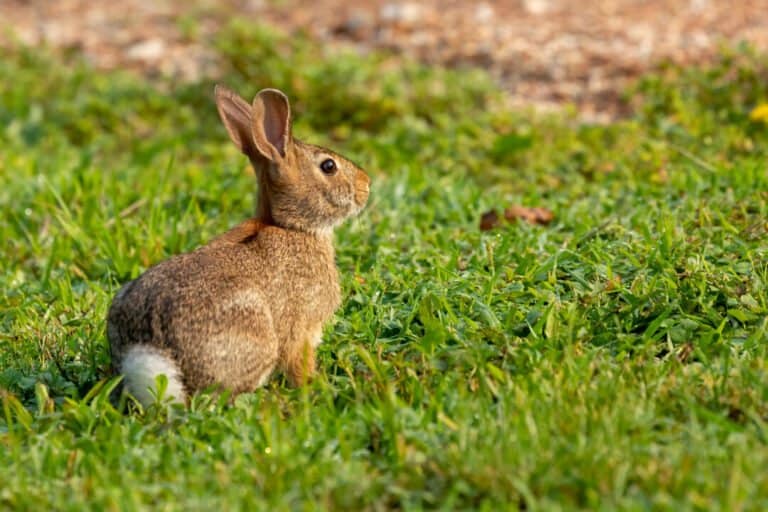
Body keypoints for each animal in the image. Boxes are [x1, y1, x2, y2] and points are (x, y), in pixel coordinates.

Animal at [106, 85, 370, 408]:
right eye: (328, 166)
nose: (367, 185)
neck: (291, 226)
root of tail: (149, 355)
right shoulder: (303, 329)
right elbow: (299, 362)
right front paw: (314, 386)